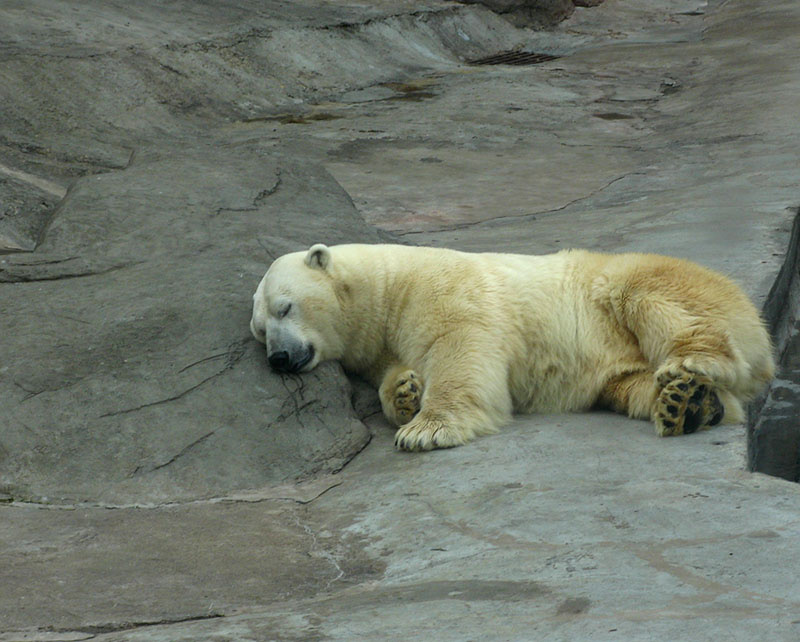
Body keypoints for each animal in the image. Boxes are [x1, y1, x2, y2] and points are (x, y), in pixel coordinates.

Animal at [250, 243, 774, 452]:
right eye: (258, 330)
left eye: (284, 307)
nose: (279, 358)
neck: (386, 287)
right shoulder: (383, 342)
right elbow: (394, 371)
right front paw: (403, 393)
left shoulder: (442, 290)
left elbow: (461, 346)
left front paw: (426, 431)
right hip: (617, 368)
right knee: (630, 386)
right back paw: (689, 403)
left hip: (624, 283)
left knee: (655, 297)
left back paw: (693, 363)